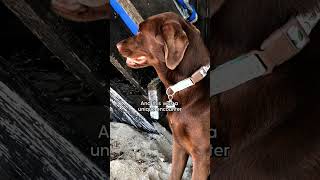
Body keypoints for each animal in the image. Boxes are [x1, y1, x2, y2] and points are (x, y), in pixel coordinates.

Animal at [116, 12, 211, 179]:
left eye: (141, 32)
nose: (117, 45)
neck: (188, 84)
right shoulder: (179, 145)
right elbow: (174, 174)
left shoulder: (202, 157)